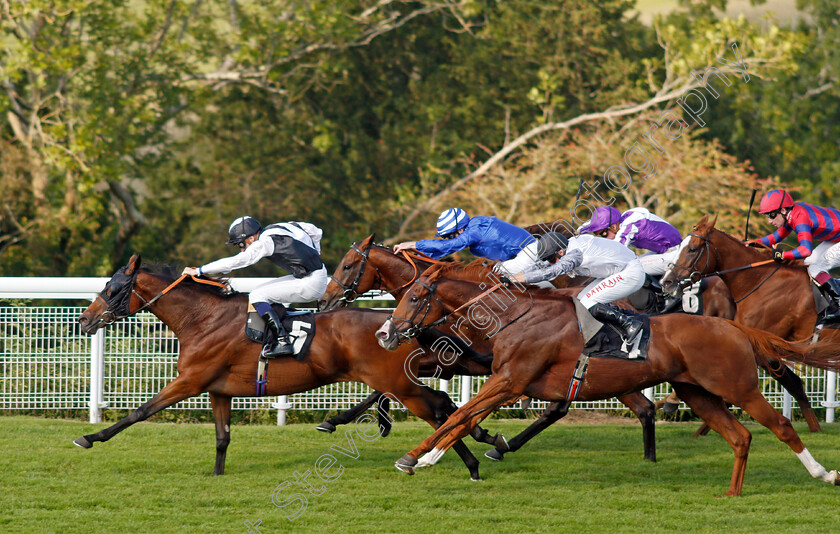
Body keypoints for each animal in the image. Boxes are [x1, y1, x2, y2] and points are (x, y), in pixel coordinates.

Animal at [75, 255, 488, 482]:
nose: (84, 319)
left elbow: (141, 411)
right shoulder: (219, 390)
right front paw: (217, 475)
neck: (202, 318)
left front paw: (90, 437)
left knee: (437, 410)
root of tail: (395, 324)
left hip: (396, 383)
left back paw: (466, 462)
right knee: (442, 405)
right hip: (400, 381)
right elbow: (222, 438)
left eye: (112, 288)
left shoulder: (190, 381)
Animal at [318, 237, 660, 462]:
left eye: (347, 265)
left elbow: (393, 388)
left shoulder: (461, 362)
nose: (324, 301)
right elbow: (389, 387)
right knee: (637, 407)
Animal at [376, 264, 840, 498]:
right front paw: (431, 457)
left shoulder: (510, 380)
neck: (517, 316)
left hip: (736, 386)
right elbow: (465, 418)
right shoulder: (507, 381)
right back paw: (732, 493)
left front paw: (415, 457)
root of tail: (735, 326)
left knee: (780, 426)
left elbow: (462, 416)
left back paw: (824, 474)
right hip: (698, 392)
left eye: (414, 297)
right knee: (741, 436)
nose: (384, 334)